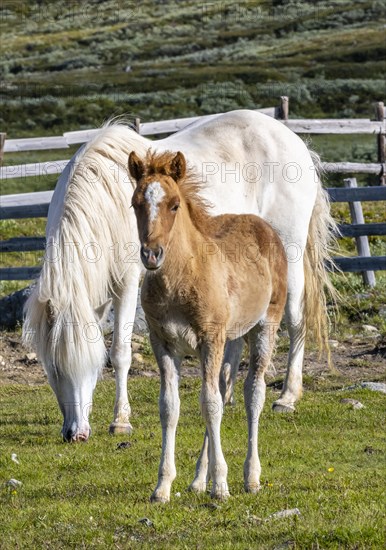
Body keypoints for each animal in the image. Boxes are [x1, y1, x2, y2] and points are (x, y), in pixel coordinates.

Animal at [22, 111, 334, 444]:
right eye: (53, 369)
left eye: (92, 365)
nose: (75, 433)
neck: (104, 205)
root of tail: (294, 141)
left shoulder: (128, 284)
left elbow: (120, 353)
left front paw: (121, 420)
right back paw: (226, 394)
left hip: (291, 256)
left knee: (296, 319)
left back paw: (287, 396)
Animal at [128, 149, 288, 502]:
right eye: (135, 204)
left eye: (174, 204)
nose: (151, 254)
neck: (179, 280)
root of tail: (264, 226)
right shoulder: (163, 343)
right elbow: (170, 407)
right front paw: (162, 487)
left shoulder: (209, 338)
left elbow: (210, 404)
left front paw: (221, 485)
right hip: (233, 338)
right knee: (224, 388)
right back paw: (198, 480)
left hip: (264, 326)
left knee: (252, 392)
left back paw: (250, 477)